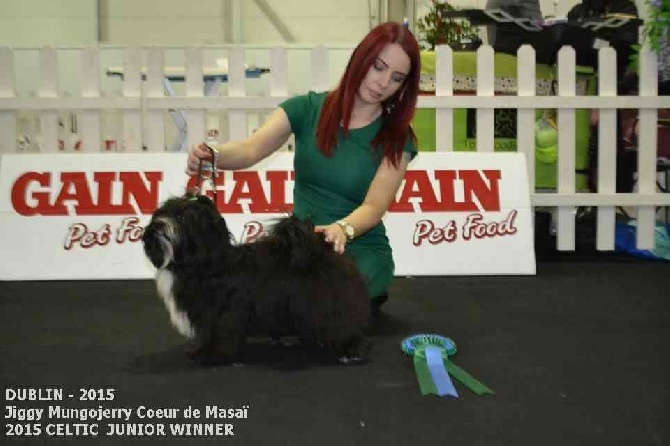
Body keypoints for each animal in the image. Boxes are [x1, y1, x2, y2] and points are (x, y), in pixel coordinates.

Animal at [142, 195, 372, 366]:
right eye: (162, 213)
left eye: (181, 217)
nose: (158, 226)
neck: (204, 263)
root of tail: (321, 249)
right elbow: (206, 335)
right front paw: (199, 351)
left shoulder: (219, 314)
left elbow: (217, 335)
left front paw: (212, 355)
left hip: (328, 304)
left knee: (345, 325)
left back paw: (352, 352)